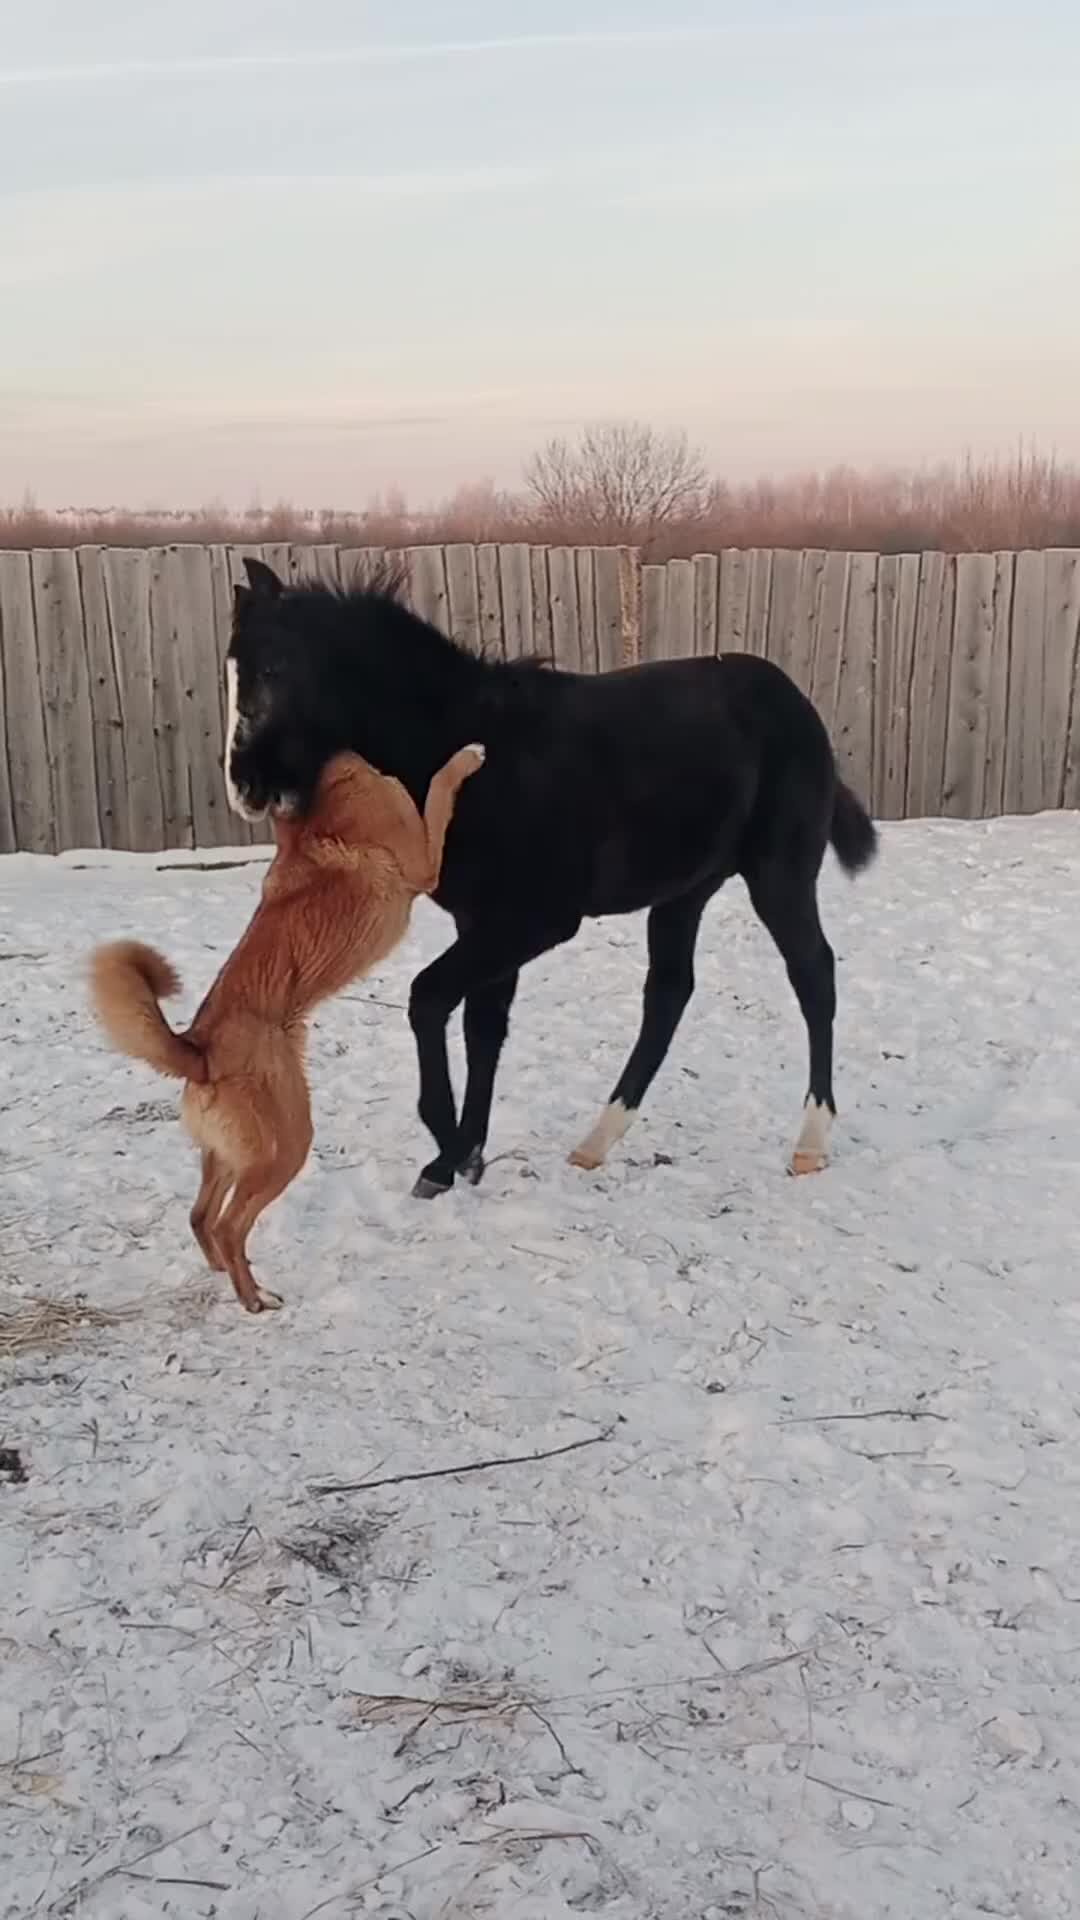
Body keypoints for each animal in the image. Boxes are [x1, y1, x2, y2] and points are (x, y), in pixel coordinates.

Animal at [88, 741, 484, 1313]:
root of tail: (200, 1051)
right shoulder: (423, 861)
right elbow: (439, 785)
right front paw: (468, 757)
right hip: (285, 1148)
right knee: (230, 1224)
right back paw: (255, 1300)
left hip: (230, 1155)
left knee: (201, 1216)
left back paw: (226, 1274)